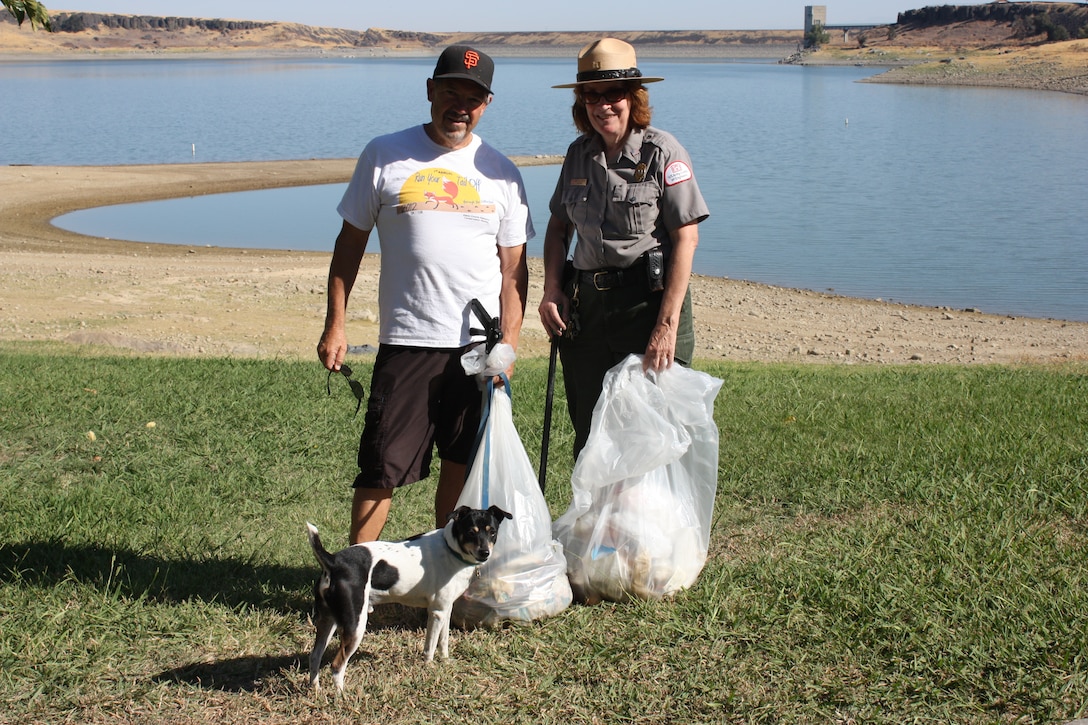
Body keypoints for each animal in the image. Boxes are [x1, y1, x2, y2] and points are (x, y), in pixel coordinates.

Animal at [306, 502, 509, 687]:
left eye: (492, 532)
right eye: (471, 532)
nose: (484, 552)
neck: (451, 549)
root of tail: (333, 561)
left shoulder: (445, 609)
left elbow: (443, 641)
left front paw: (445, 662)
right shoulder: (437, 612)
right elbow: (430, 646)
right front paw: (430, 668)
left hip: (328, 620)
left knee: (315, 657)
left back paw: (316, 690)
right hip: (355, 624)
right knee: (337, 665)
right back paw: (341, 696)